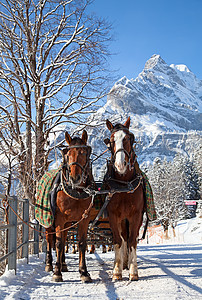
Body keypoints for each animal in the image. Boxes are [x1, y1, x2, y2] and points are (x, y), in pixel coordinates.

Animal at [51, 130, 94, 282]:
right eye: (67, 155)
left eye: (84, 153)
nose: (75, 178)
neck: (76, 191)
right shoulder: (59, 219)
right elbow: (58, 244)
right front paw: (56, 273)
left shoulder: (84, 220)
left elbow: (81, 244)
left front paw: (84, 272)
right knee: (51, 241)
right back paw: (50, 265)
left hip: (68, 223)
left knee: (64, 239)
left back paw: (63, 264)